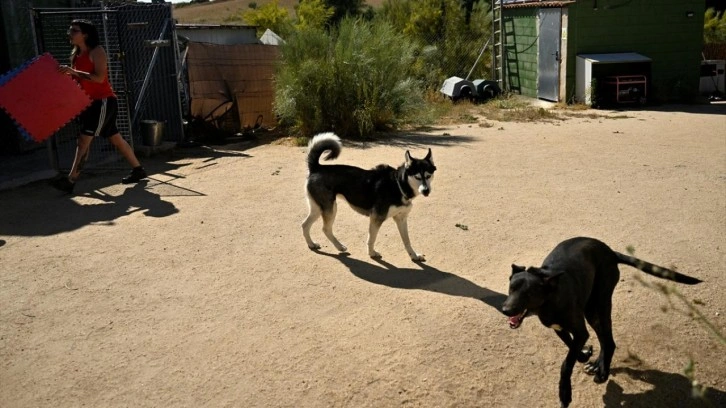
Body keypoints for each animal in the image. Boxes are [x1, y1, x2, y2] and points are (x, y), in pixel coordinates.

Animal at [302, 134, 438, 262]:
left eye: (428, 175)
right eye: (417, 177)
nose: (426, 190)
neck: (398, 184)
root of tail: (317, 167)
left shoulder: (401, 219)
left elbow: (407, 241)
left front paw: (413, 255)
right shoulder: (376, 218)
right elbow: (371, 239)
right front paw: (372, 253)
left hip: (318, 209)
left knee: (304, 225)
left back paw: (312, 244)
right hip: (330, 209)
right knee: (325, 229)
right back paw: (339, 246)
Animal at [504, 237, 704, 406]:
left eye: (529, 294)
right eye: (511, 288)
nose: (505, 310)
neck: (550, 298)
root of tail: (609, 251)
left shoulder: (580, 332)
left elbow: (566, 364)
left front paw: (565, 394)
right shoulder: (559, 329)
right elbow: (573, 351)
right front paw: (585, 354)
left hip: (598, 305)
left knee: (609, 341)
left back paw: (603, 373)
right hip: (592, 311)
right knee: (604, 340)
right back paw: (598, 366)